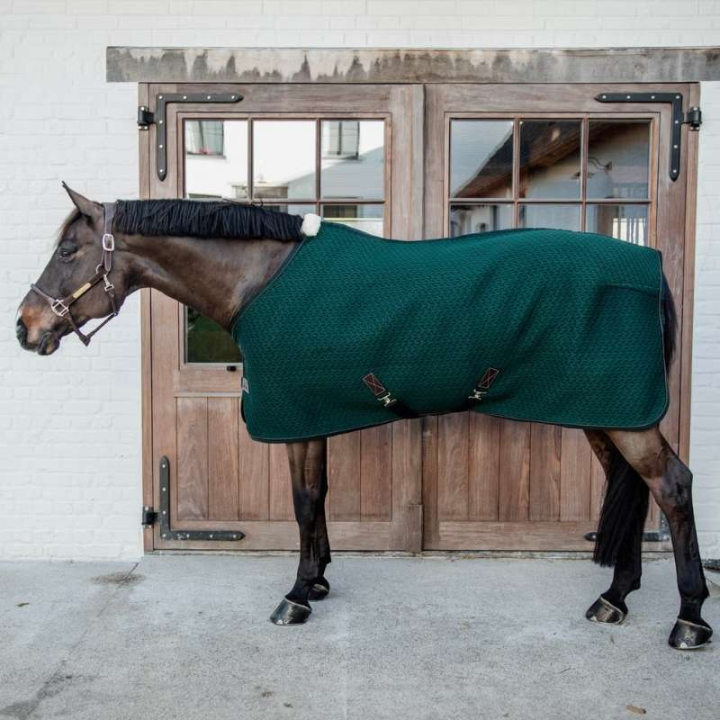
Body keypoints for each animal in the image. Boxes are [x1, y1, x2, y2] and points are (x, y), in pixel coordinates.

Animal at [16, 184, 713, 650]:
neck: (259, 279)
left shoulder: (294, 416)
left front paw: (296, 597)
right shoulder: (310, 415)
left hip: (626, 416)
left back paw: (689, 619)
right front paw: (319, 581)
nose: (26, 328)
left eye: (70, 250)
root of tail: (648, 268)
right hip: (602, 409)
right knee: (632, 486)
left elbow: (303, 501)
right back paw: (614, 599)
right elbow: (318, 497)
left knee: (672, 487)